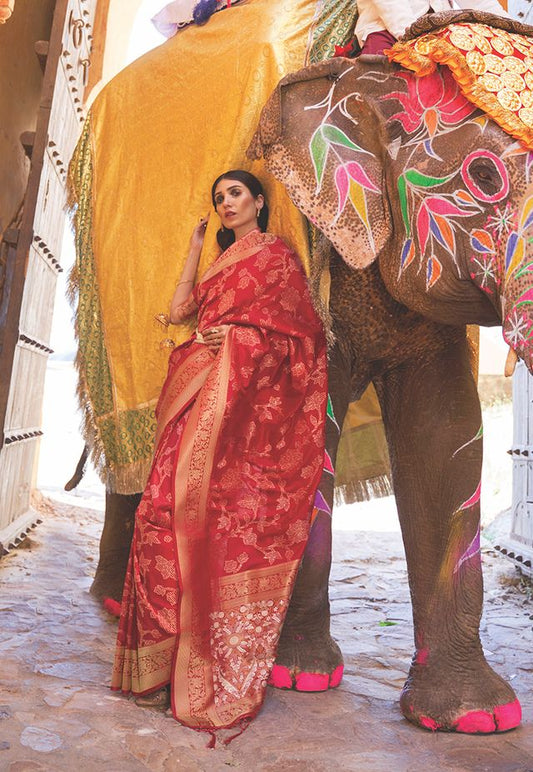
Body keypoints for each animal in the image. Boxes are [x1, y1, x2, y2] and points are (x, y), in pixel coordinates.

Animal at [247, 10, 532, 736]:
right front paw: (298, 678)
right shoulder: (314, 255)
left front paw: (477, 721)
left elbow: (443, 440)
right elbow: (308, 422)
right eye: (485, 176)